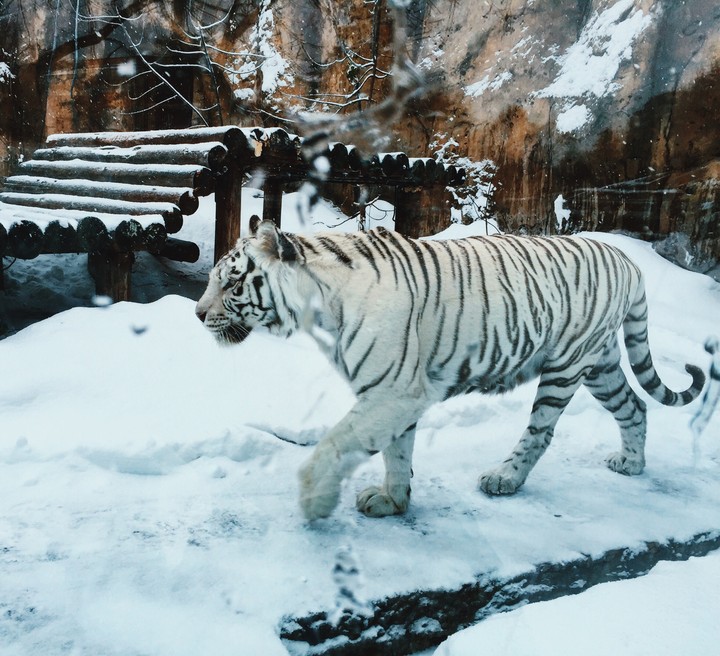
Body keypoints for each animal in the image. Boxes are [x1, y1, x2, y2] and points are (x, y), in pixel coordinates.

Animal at [195, 216, 706, 521]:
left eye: (232, 282)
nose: (198, 314)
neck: (319, 307)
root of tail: (628, 261)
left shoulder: (394, 390)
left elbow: (338, 442)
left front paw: (313, 500)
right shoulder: (397, 393)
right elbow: (396, 451)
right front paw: (393, 500)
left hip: (567, 364)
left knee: (541, 431)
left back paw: (504, 479)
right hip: (601, 364)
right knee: (635, 407)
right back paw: (632, 464)